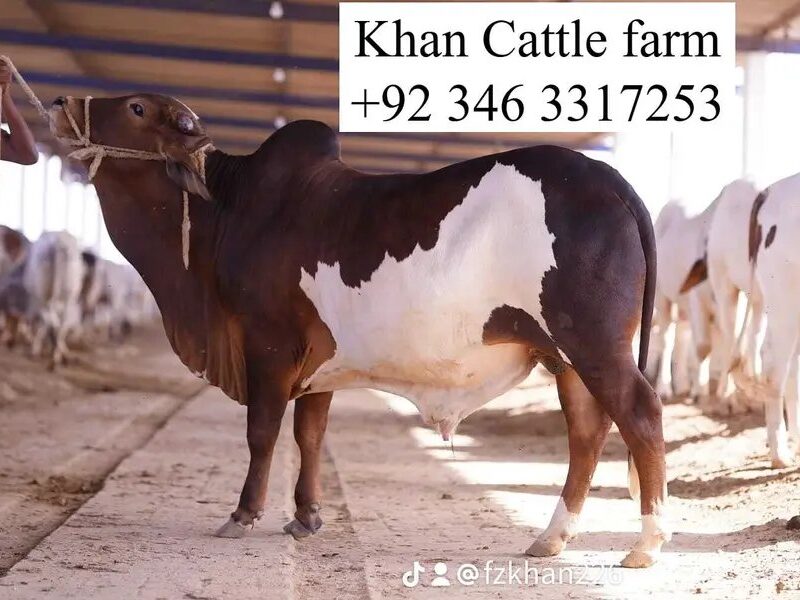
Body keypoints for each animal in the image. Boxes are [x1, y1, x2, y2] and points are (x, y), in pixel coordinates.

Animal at [50, 93, 668, 567]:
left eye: (135, 107)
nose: (58, 103)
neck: (229, 210)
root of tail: (609, 179)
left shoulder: (268, 345)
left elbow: (263, 433)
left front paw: (244, 514)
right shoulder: (318, 364)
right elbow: (310, 435)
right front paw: (306, 517)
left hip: (594, 344)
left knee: (640, 414)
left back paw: (646, 544)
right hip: (566, 356)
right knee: (587, 433)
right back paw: (551, 538)